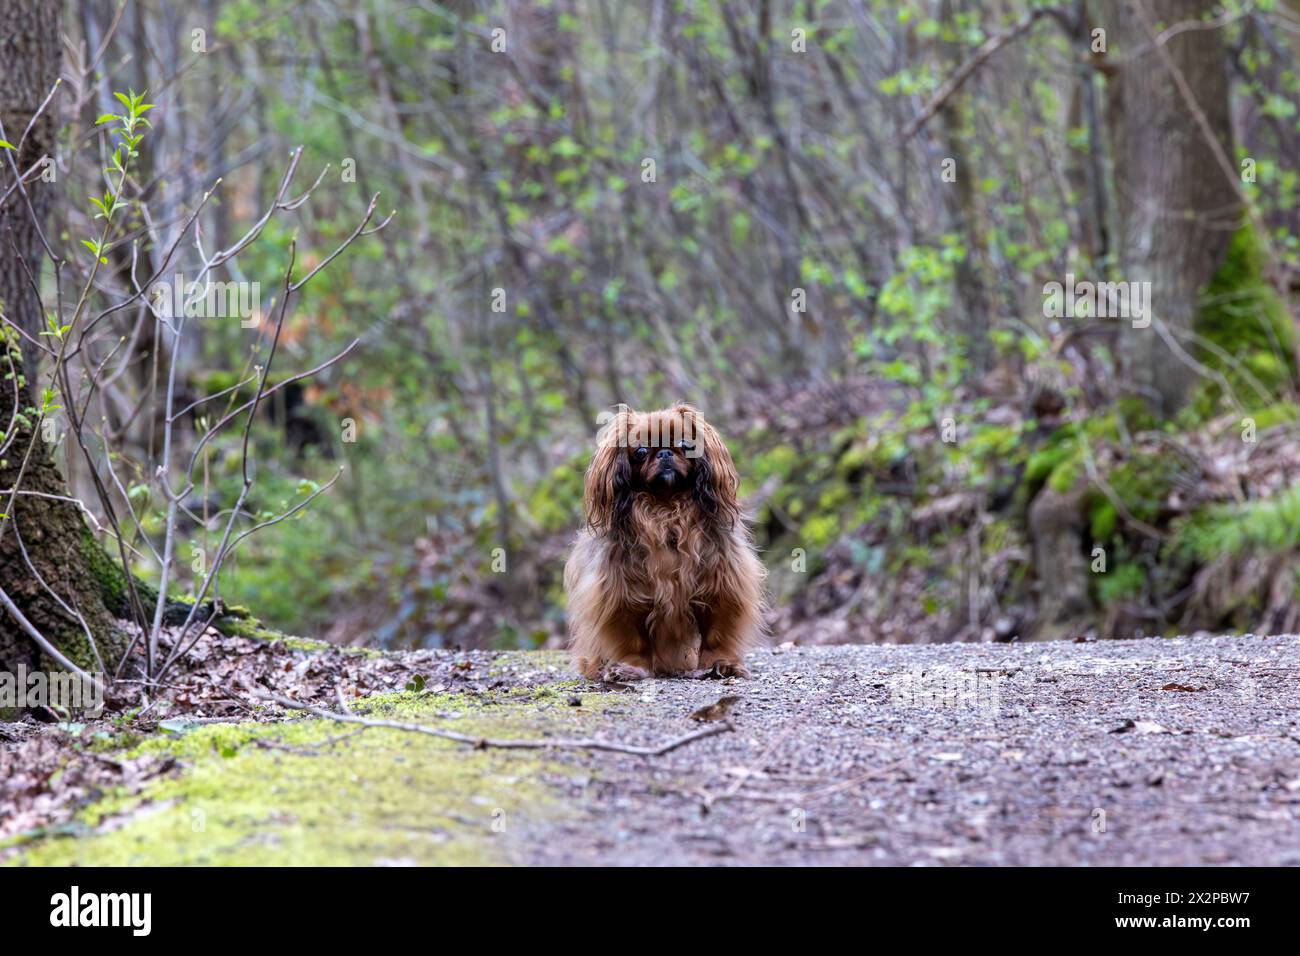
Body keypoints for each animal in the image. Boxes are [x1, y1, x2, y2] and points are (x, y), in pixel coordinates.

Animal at [564, 403, 764, 681]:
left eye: (685, 443)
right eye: (640, 452)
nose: (665, 453)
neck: (666, 508)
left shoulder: (721, 584)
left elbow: (716, 634)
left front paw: (721, 663)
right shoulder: (622, 594)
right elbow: (632, 640)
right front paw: (631, 667)